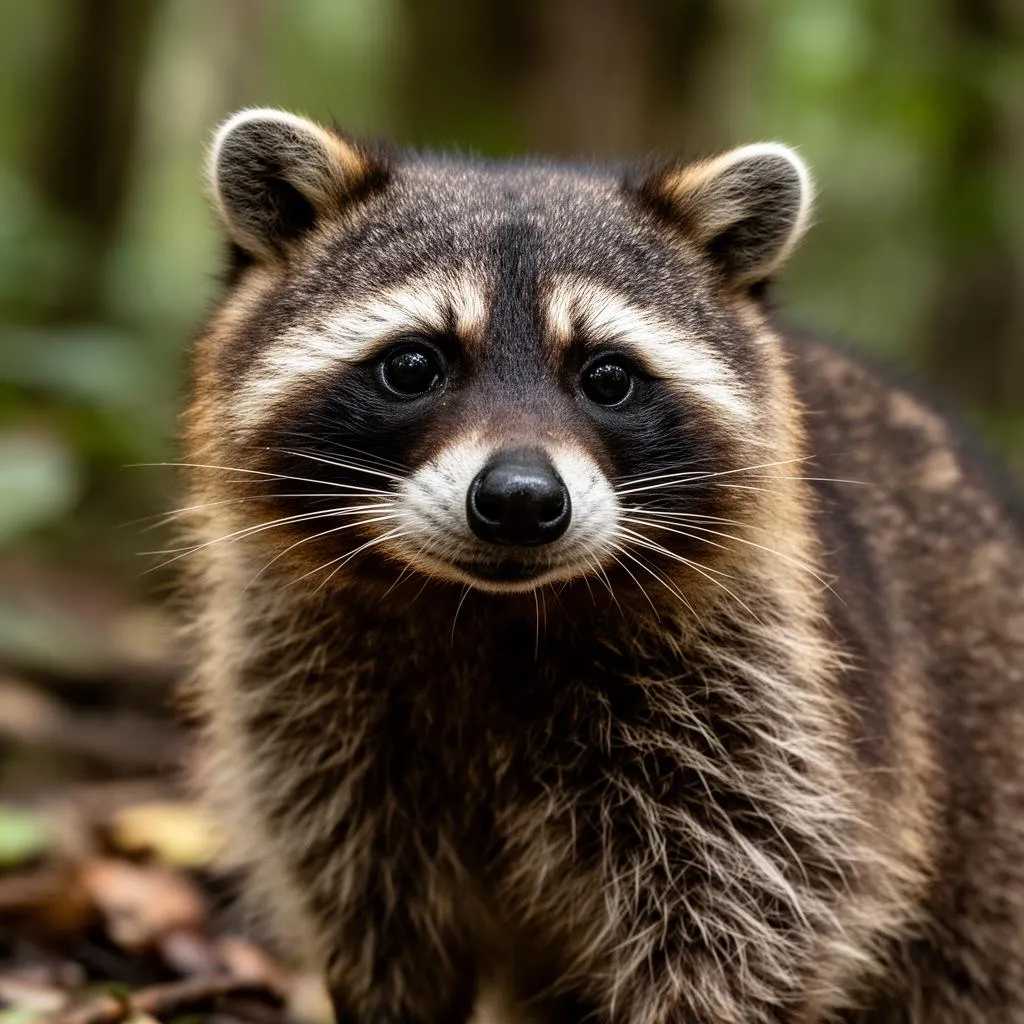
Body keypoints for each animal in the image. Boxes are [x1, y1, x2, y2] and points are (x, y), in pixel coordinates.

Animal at [183, 108, 1024, 1023]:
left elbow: (747, 917)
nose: (519, 500)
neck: (488, 610)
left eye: (608, 376)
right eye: (412, 365)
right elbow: (378, 912)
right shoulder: (320, 715)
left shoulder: (760, 717)